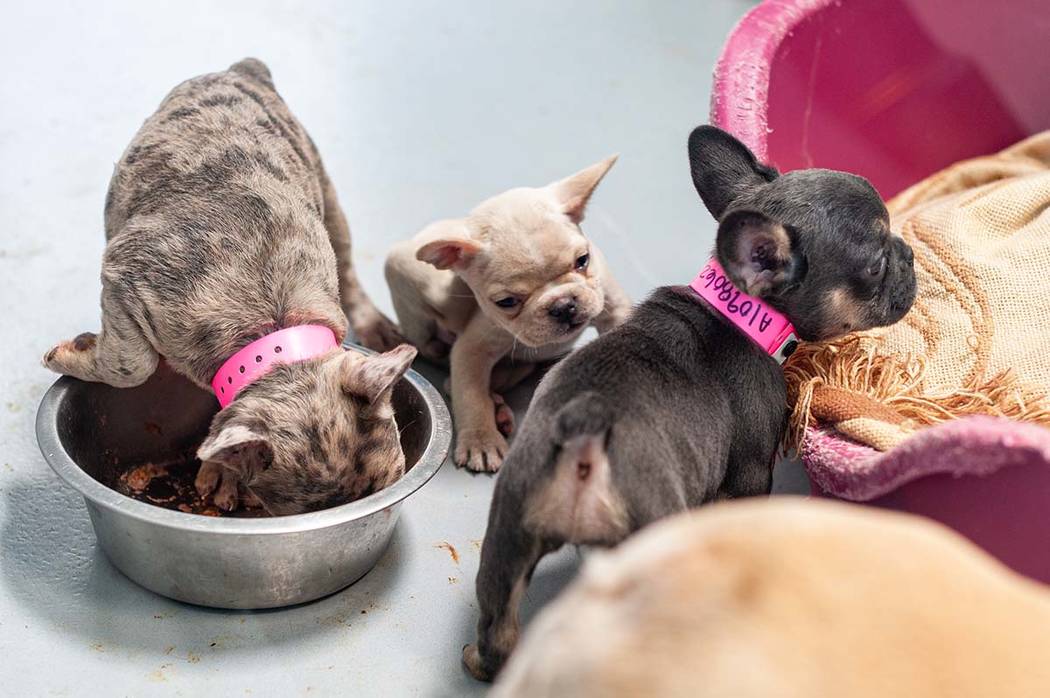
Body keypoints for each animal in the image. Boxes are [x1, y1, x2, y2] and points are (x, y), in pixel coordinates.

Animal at [42, 59, 417, 514]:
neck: (273, 330)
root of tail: (244, 69)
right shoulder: (123, 275)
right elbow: (131, 364)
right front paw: (73, 352)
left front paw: (222, 473)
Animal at [386, 157, 630, 470]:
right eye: (506, 302)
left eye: (583, 260)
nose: (563, 305)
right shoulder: (472, 348)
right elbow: (471, 394)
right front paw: (481, 440)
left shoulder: (615, 309)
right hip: (411, 274)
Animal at [464, 125, 915, 680]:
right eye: (875, 265)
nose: (908, 254)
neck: (737, 311)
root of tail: (582, 439)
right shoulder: (751, 467)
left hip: (507, 534)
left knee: (498, 630)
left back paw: (478, 659)